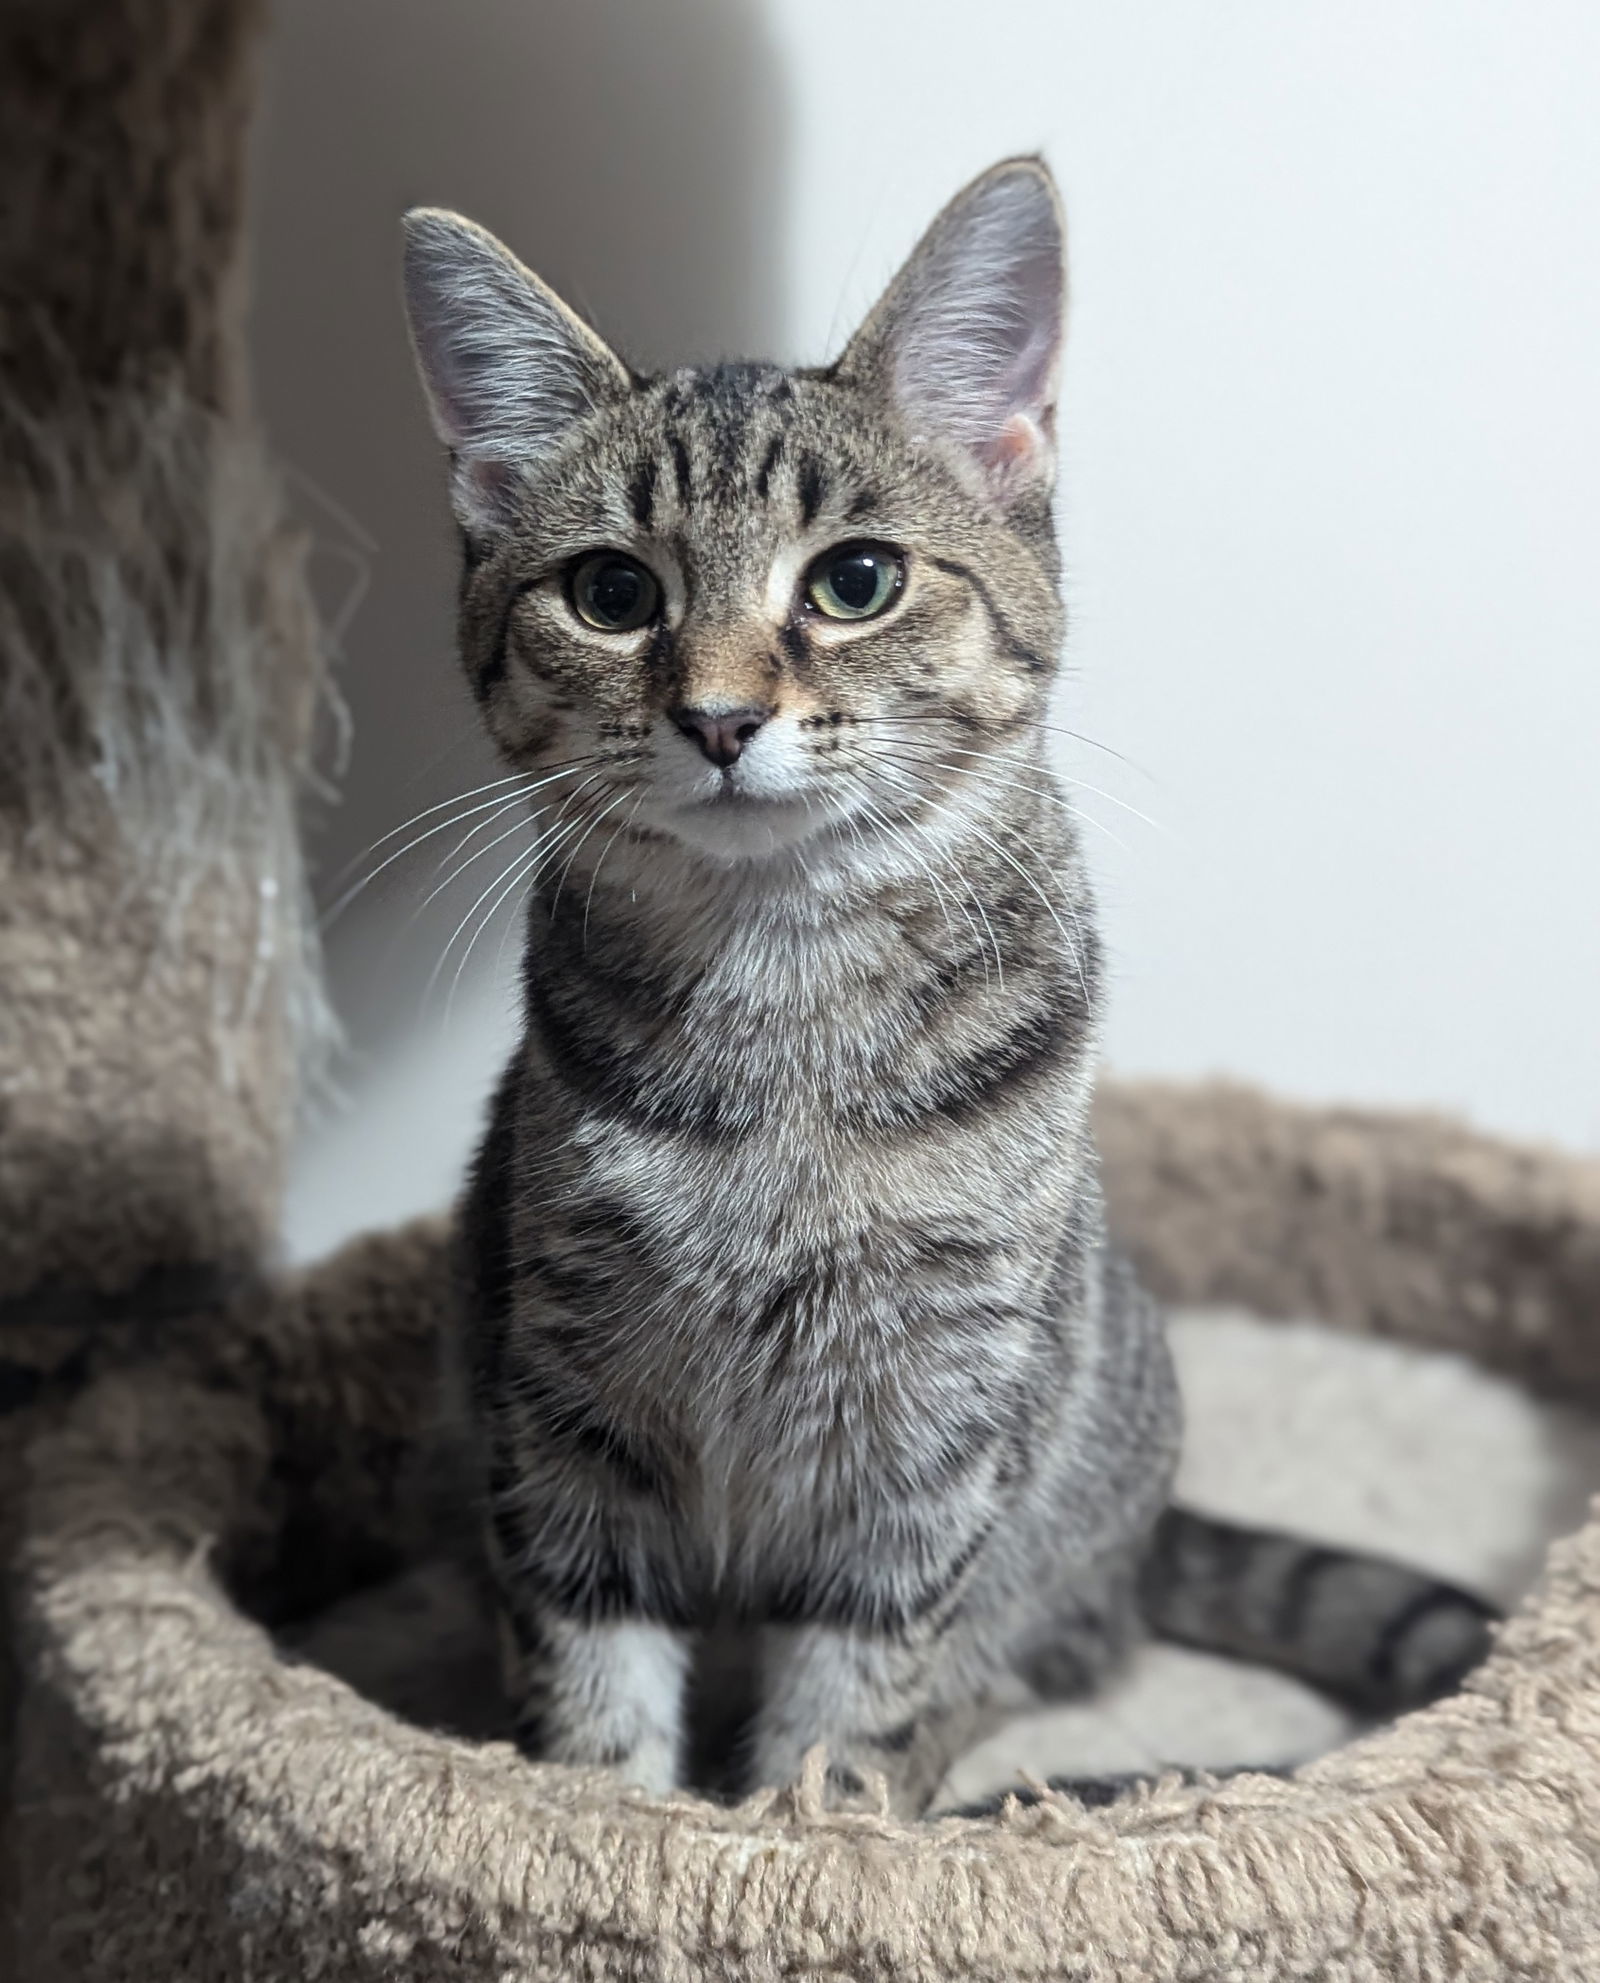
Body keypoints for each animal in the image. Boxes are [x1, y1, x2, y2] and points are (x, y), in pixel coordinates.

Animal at [396, 162, 1490, 1816]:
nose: (719, 715)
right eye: (610, 591)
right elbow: (592, 1683)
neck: (781, 982)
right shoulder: (563, 1399)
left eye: (856, 580)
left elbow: (851, 1706)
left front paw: (806, 1825)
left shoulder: (933, 1427)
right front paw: (616, 1823)